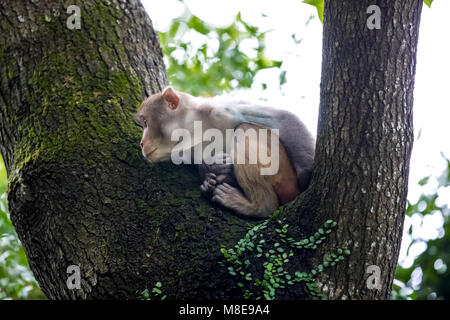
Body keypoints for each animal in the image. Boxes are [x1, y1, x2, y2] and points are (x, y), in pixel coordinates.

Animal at [135, 86, 314, 219]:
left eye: (145, 122)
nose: (142, 143)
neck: (193, 130)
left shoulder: (218, 110)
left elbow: (283, 118)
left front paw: (307, 176)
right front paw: (209, 170)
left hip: (284, 173)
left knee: (244, 129)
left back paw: (259, 207)